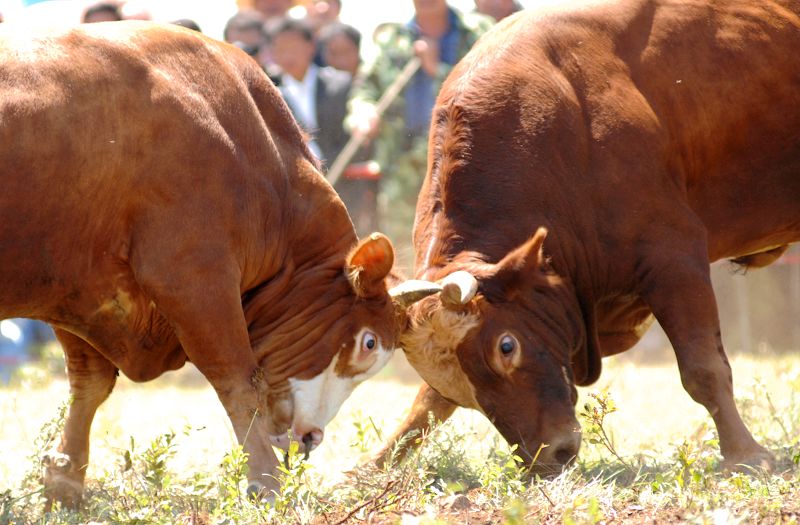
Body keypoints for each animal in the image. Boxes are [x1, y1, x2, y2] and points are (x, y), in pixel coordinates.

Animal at [0, 22, 438, 506]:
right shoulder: (193, 277)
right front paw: (267, 481)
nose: (310, 437)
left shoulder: (77, 285)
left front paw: (64, 480)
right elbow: (238, 382)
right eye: (367, 343)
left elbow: (89, 383)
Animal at [376, 0, 800, 472]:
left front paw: (746, 454)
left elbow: (703, 367)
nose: (550, 455)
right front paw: (371, 467)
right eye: (460, 388)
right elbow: (425, 407)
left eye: (506, 346)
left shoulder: (674, 254)